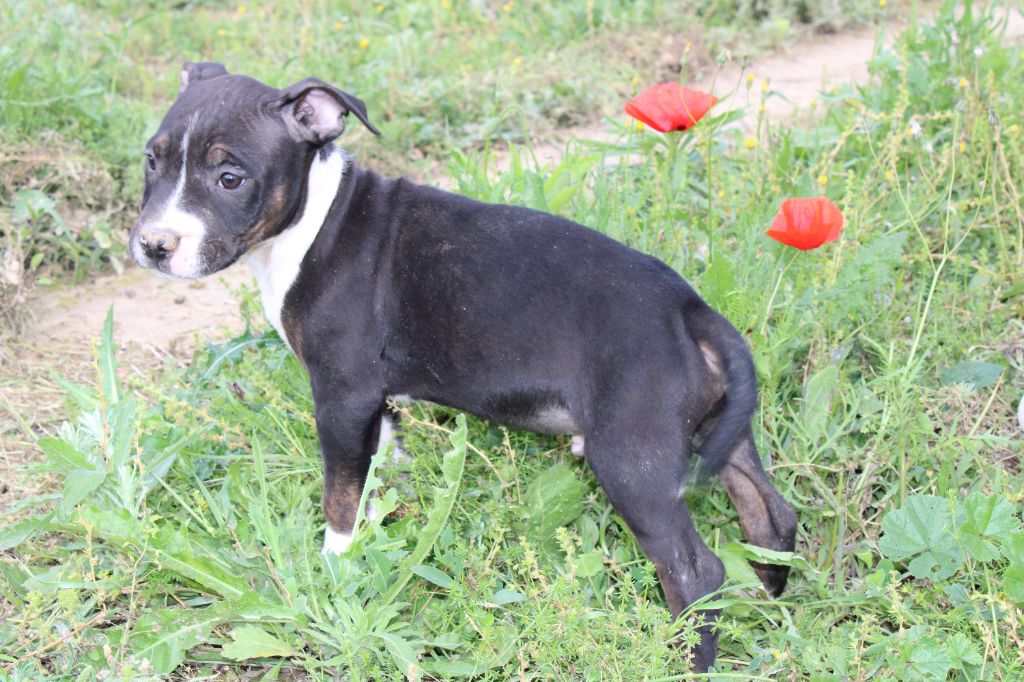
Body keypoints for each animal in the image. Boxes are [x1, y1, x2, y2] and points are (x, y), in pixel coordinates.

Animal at [130, 61, 797, 671]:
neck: (310, 221)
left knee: (694, 568)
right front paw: (386, 527)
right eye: (151, 161)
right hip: (718, 433)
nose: (153, 246)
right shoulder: (373, 401)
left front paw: (336, 569)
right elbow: (379, 467)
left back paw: (687, 657)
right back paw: (770, 601)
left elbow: (339, 497)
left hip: (633, 457)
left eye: (230, 177)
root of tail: (690, 310)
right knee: (771, 514)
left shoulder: (341, 394)